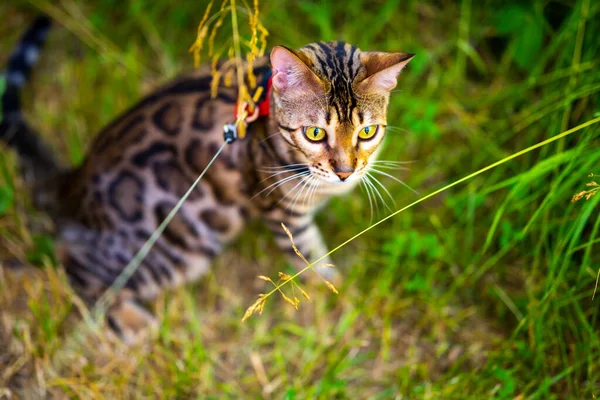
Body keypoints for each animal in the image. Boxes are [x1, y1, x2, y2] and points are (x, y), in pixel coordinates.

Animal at [1, 14, 412, 340]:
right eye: (314, 133)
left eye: (366, 132)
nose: (345, 171)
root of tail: (71, 180)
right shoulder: (280, 210)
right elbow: (310, 255)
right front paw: (337, 290)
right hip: (180, 247)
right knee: (73, 262)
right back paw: (134, 321)